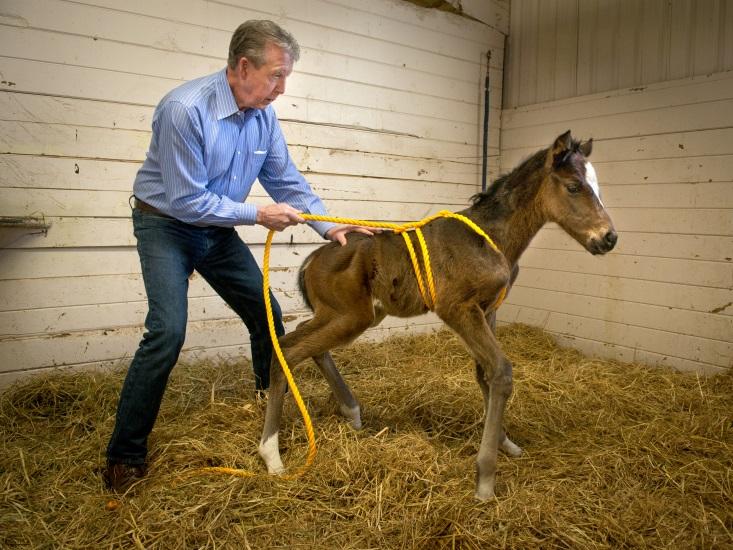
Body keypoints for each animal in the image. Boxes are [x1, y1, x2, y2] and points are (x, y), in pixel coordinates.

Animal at [258, 130, 617, 500]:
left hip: (351, 315)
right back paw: (272, 455)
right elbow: (501, 371)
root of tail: (311, 261)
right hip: (349, 316)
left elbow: (485, 373)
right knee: (287, 347)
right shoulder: (457, 308)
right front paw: (485, 478)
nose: (608, 238)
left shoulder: (488, 310)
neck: (490, 239)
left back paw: (352, 412)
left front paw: (505, 442)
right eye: (573, 186)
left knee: (307, 341)